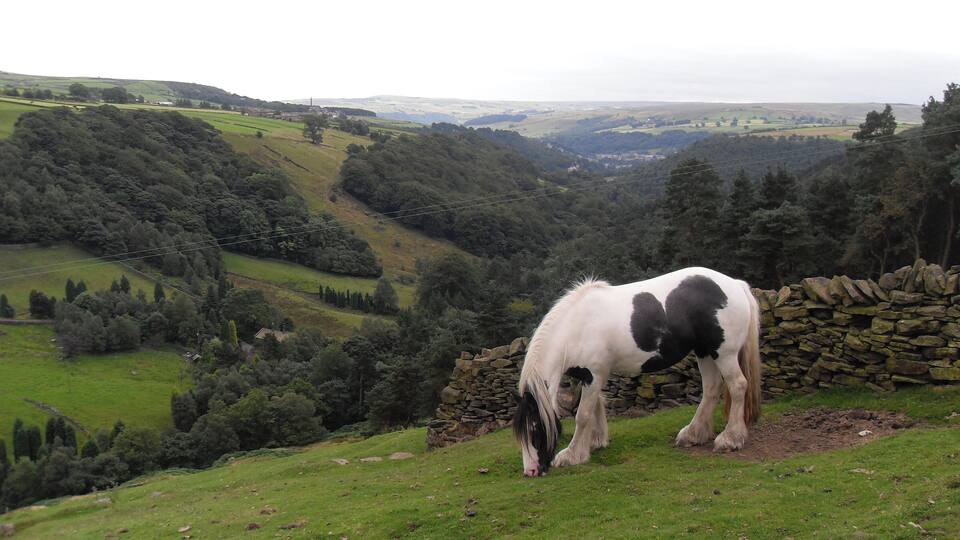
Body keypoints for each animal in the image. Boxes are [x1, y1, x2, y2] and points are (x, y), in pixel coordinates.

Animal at [513, 267, 761, 477]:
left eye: (534, 428)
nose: (530, 471)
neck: (576, 327)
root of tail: (735, 284)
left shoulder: (593, 375)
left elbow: (583, 415)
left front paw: (572, 455)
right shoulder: (590, 377)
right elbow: (597, 406)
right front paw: (596, 442)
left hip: (724, 352)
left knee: (738, 385)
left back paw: (730, 439)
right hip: (704, 352)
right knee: (711, 389)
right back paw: (693, 434)